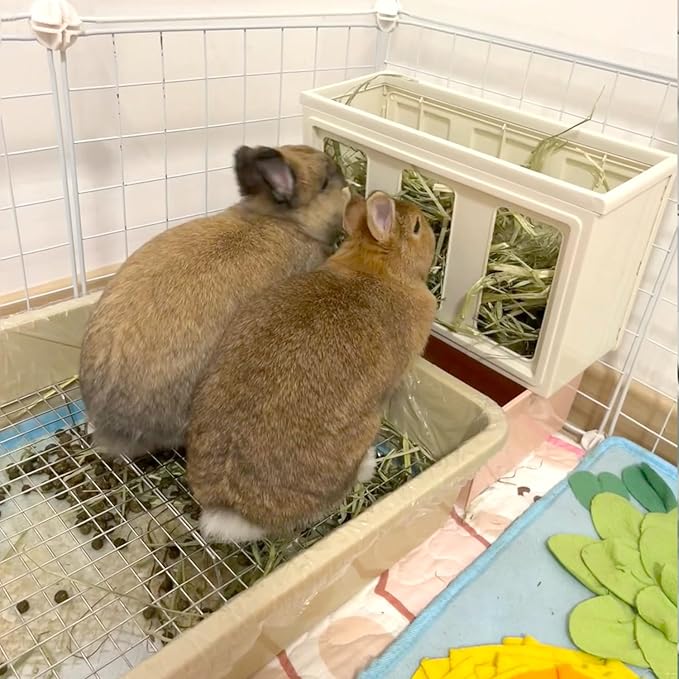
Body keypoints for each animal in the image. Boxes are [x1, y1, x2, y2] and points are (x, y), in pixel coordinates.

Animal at [186, 190, 436, 544]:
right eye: (416, 227)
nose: (430, 225)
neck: (379, 270)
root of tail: (232, 509)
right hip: (361, 432)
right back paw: (367, 467)